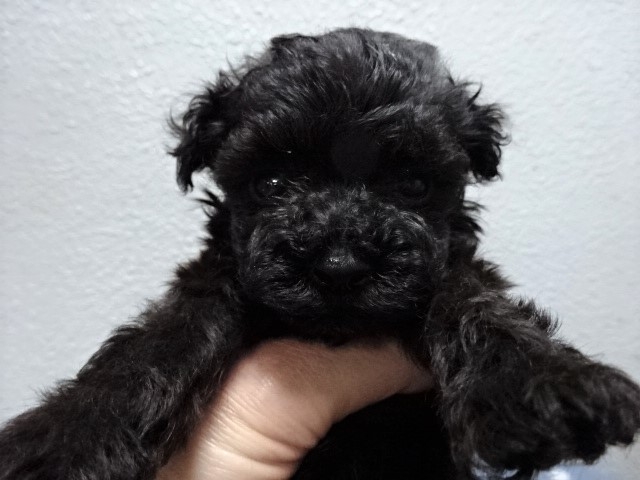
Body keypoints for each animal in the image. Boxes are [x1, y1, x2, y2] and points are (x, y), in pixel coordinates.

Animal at [1, 28, 639, 480]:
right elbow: (157, 342)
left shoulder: (450, 268)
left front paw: (544, 381)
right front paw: (68, 435)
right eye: (272, 184)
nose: (341, 267)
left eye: (413, 186)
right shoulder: (215, 278)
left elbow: (476, 302)